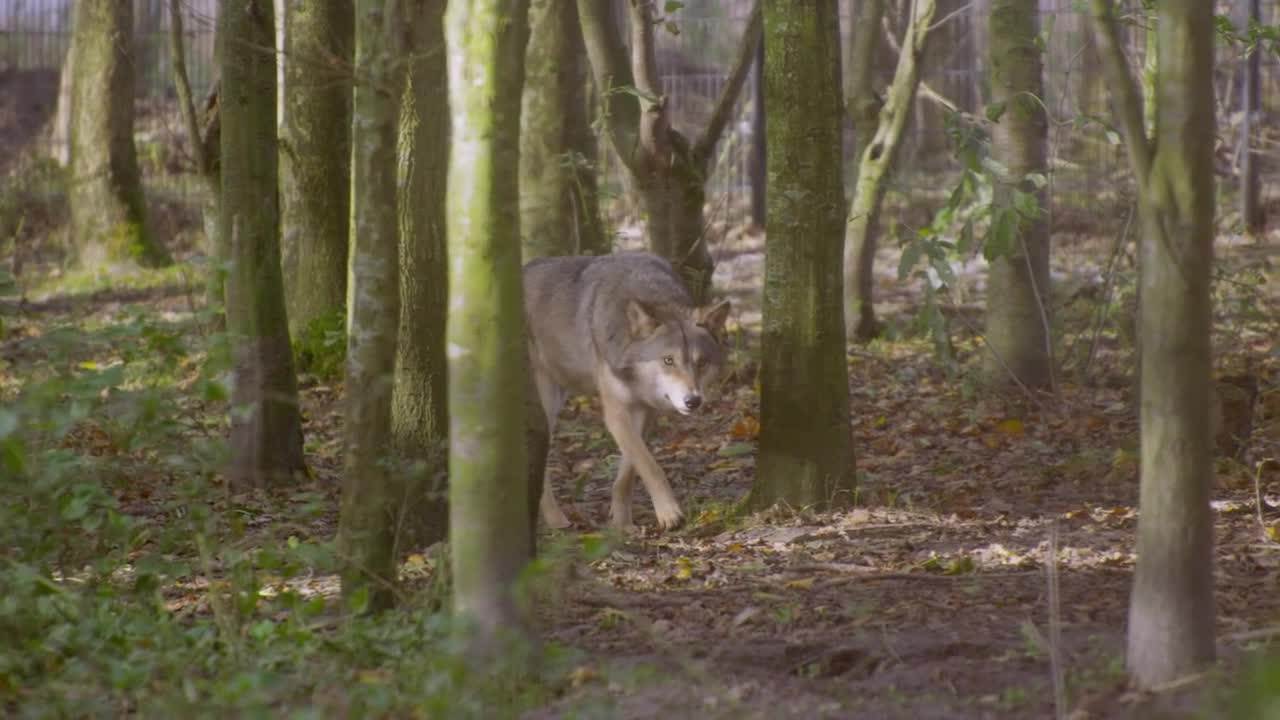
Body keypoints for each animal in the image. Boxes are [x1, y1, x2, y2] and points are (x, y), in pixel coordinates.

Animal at [519, 251, 732, 527]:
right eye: (668, 360)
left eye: (702, 362)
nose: (693, 401)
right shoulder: (616, 413)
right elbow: (650, 466)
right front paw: (669, 513)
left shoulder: (646, 411)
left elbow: (629, 471)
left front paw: (621, 522)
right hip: (546, 405)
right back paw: (556, 521)